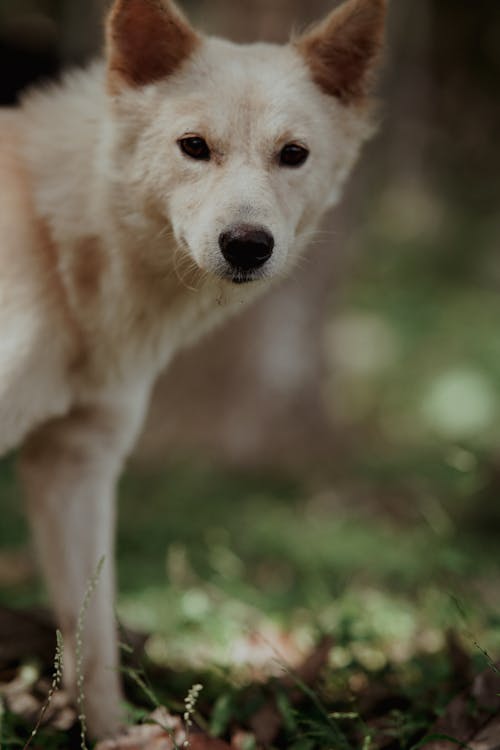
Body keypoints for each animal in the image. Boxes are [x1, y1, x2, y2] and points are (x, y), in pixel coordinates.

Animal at [0, 0, 386, 740]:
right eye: (194, 146)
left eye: (293, 154)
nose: (247, 245)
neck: (56, 238)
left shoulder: (76, 466)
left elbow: (94, 640)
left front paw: (115, 739)